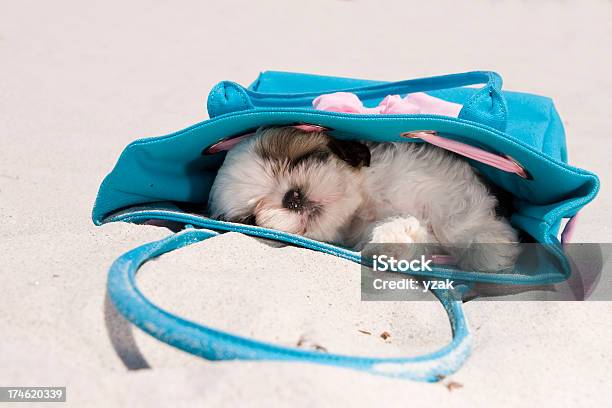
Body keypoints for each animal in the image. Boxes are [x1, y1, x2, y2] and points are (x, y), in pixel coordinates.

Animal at [208, 127, 520, 270]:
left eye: (300, 159)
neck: (366, 202)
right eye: (251, 218)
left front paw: (487, 247)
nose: (292, 198)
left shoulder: (438, 180)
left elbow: (456, 214)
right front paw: (393, 240)